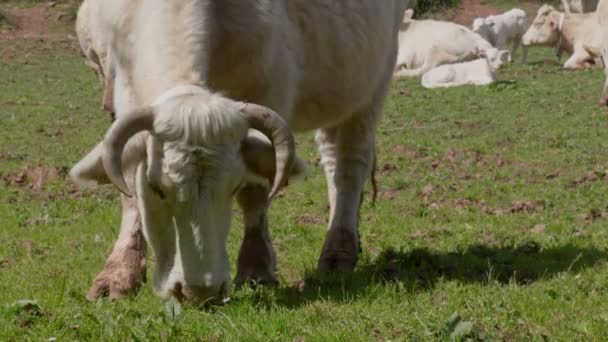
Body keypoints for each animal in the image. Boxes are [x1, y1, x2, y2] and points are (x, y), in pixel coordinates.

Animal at [69, 0, 406, 304]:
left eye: (232, 186)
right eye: (158, 190)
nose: (199, 291)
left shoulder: (269, 89)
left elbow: (255, 193)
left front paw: (256, 270)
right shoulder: (118, 86)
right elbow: (128, 188)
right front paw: (118, 275)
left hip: (372, 86)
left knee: (349, 164)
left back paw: (339, 251)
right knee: (332, 157)